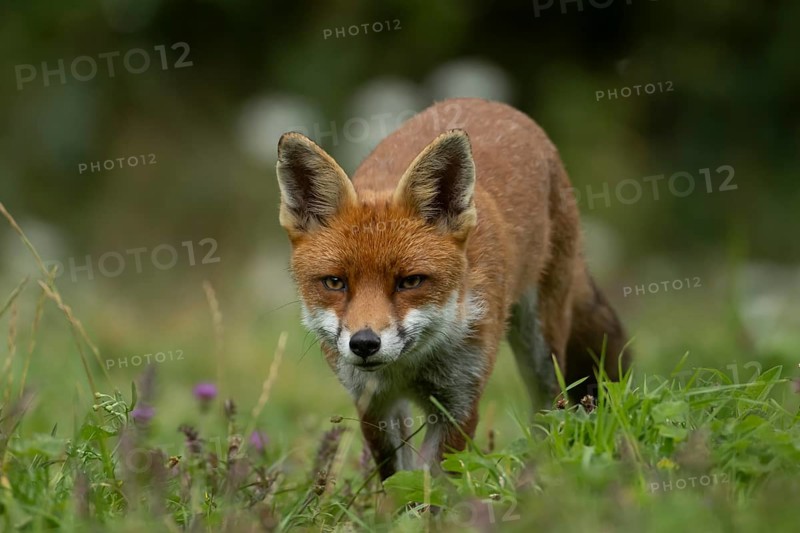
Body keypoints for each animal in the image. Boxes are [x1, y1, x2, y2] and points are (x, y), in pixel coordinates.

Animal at [276, 98, 630, 480]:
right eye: (335, 283)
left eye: (410, 281)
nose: (365, 344)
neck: (409, 366)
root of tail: (491, 104)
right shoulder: (374, 404)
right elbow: (397, 476)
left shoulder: (459, 399)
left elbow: (435, 477)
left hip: (542, 348)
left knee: (550, 410)